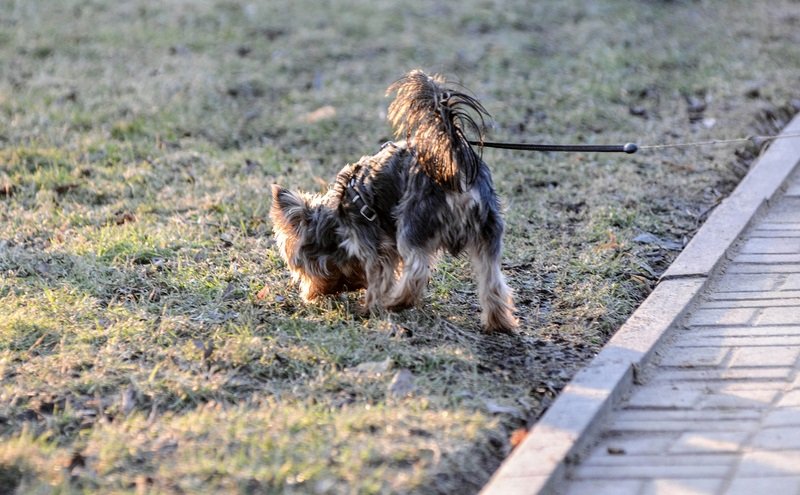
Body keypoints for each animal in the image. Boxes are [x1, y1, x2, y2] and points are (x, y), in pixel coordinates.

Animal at [268, 70, 520, 332]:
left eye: (300, 268)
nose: (310, 295)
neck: (337, 215)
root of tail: (455, 168)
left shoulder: (373, 245)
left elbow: (379, 277)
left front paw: (370, 307)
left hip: (413, 222)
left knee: (417, 272)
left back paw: (396, 302)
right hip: (488, 229)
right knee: (492, 279)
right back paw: (499, 322)